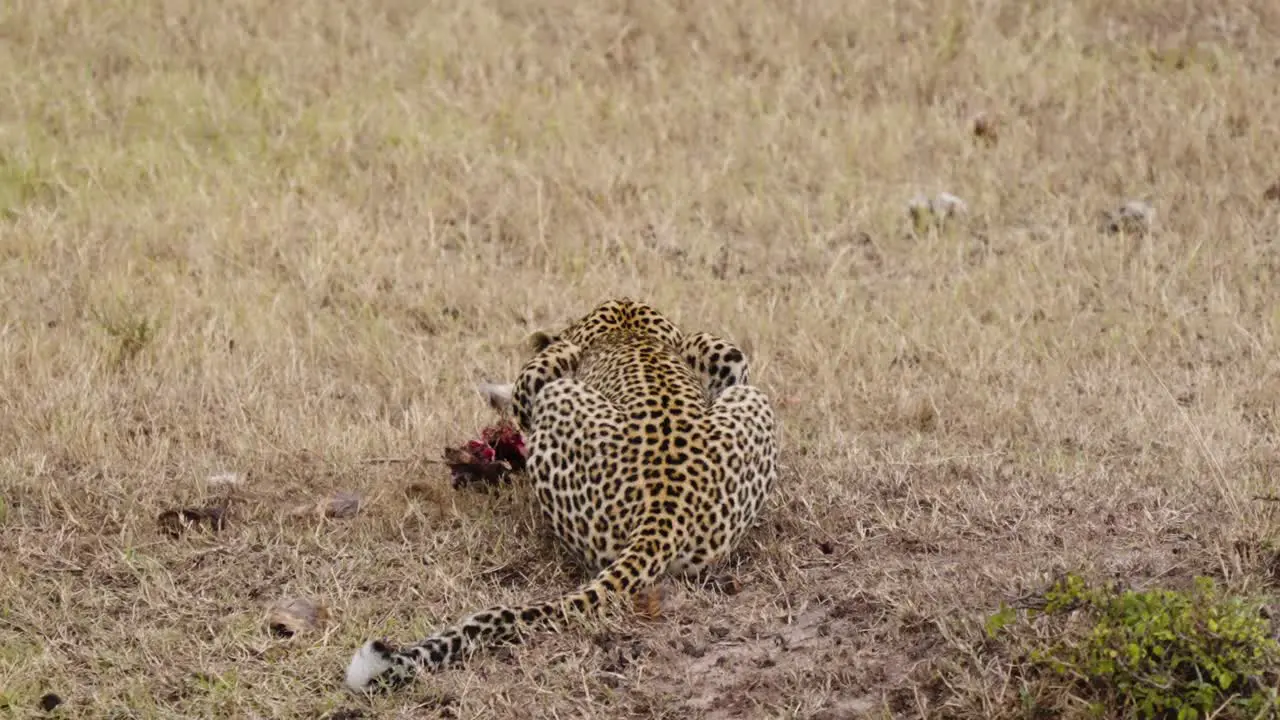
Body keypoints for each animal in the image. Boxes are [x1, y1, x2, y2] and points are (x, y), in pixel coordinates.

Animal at [343, 295, 778, 691]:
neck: (628, 321)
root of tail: (664, 511)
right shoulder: (719, 351)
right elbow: (727, 354)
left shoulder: (549, 366)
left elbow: (525, 389)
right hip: (750, 400)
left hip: (562, 398)